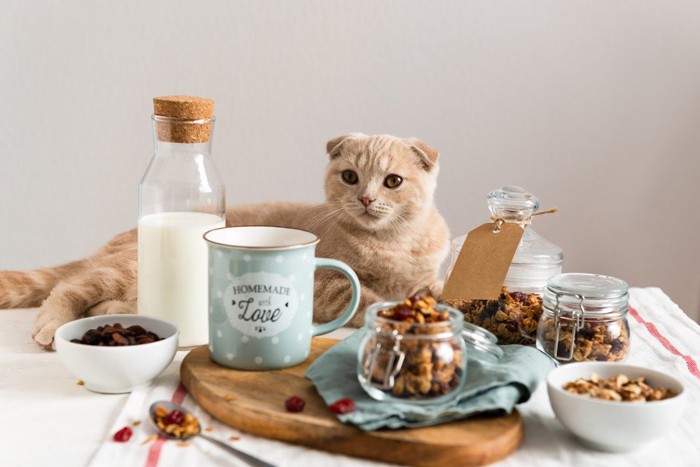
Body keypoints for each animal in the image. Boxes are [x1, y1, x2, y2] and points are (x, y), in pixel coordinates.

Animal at [0, 133, 448, 350]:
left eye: (393, 181)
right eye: (350, 177)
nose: (367, 198)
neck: (394, 244)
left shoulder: (424, 271)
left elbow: (432, 285)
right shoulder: (328, 285)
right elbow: (367, 297)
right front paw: (395, 308)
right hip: (126, 267)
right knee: (68, 286)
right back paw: (53, 325)